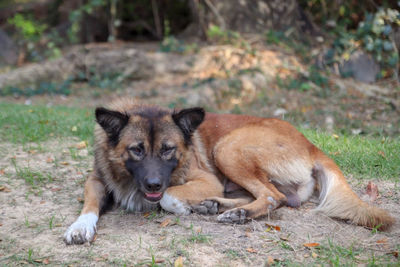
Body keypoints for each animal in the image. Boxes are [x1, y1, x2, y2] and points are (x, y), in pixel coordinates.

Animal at [63, 99, 394, 245]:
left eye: (168, 150)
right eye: (137, 150)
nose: (154, 183)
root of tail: (312, 145)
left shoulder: (204, 178)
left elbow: (170, 197)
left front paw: (181, 206)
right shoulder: (97, 180)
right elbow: (89, 204)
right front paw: (80, 227)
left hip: (227, 148)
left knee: (272, 197)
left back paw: (236, 213)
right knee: (266, 195)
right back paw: (218, 207)